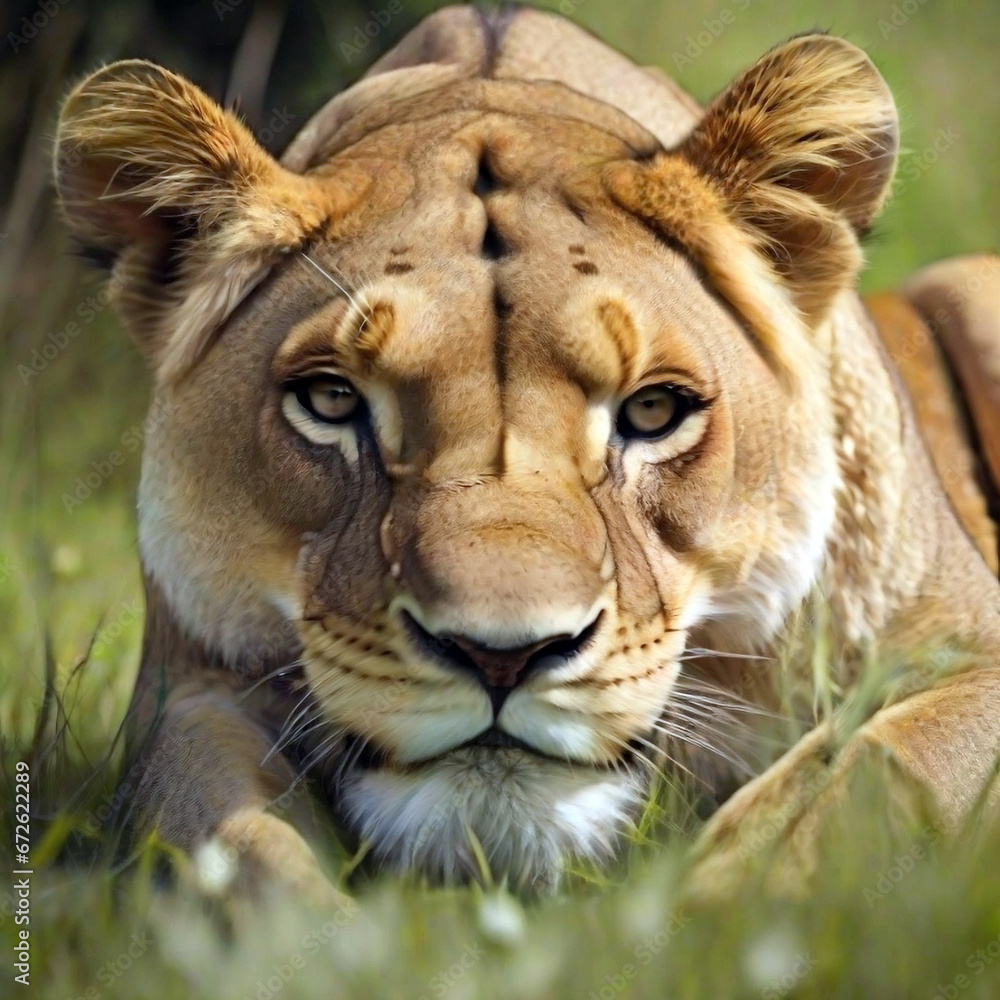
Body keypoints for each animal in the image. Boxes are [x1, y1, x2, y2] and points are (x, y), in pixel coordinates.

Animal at [53, 6, 1000, 897]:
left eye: (653, 409)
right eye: (331, 400)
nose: (500, 656)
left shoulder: (971, 650)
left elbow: (870, 776)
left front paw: (718, 904)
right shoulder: (187, 692)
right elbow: (234, 847)